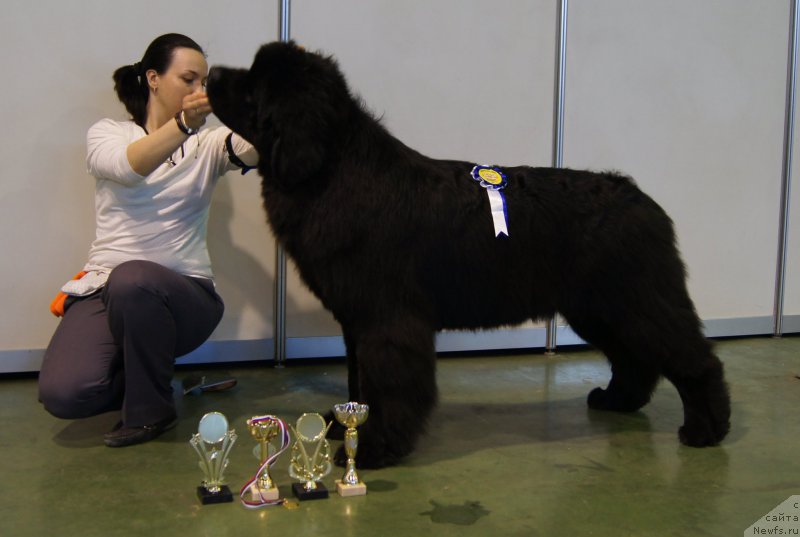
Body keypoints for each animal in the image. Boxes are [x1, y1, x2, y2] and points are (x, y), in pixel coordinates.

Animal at [206, 42, 732, 466]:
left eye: (252, 84)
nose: (209, 73)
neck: (332, 169)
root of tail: (640, 198)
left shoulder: (387, 319)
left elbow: (387, 385)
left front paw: (375, 449)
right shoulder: (357, 320)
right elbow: (358, 381)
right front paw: (343, 426)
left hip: (638, 302)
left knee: (693, 358)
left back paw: (707, 429)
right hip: (599, 308)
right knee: (635, 358)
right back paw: (616, 401)